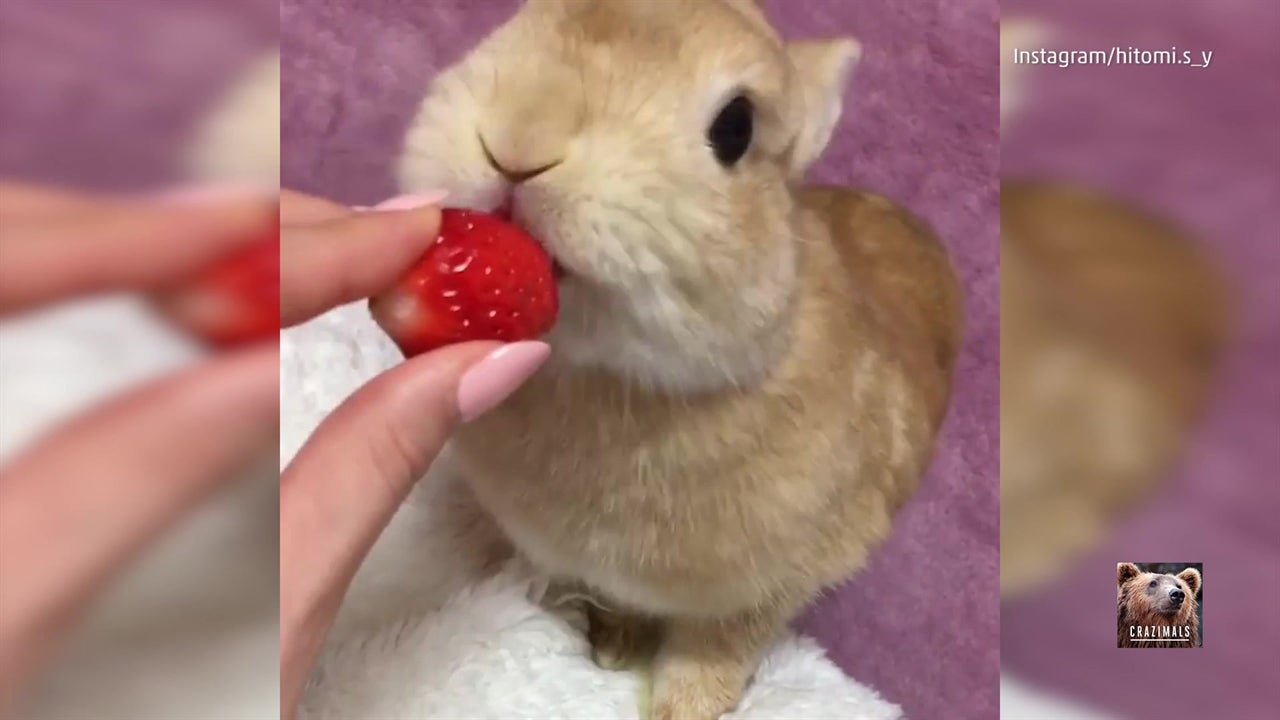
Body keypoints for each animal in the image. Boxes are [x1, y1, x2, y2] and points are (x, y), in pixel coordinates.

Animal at [395, 1, 963, 717]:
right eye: (516, 22)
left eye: (736, 128)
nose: (520, 142)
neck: (605, 377)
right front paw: (614, 646)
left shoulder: (768, 586)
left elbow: (718, 647)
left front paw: (683, 707)